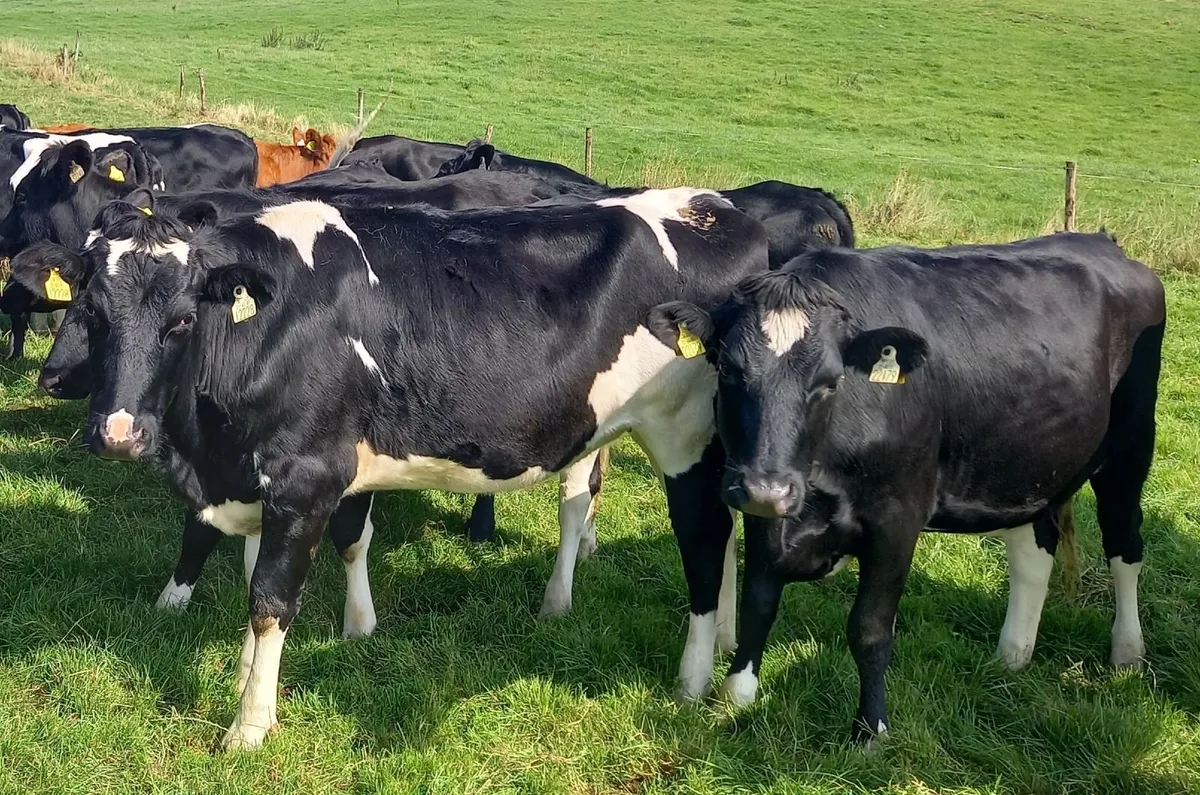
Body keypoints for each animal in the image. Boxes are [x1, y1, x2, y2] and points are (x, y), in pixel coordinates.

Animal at [74, 187, 766, 748]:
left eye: (182, 320)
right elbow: (294, 562)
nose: (118, 433)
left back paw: (694, 679)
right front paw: (266, 673)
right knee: (727, 531)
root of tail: (717, 206)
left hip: (684, 435)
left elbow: (270, 599)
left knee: (704, 540)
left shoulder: (304, 477)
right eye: (91, 313)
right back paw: (727, 639)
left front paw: (248, 727)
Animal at [648, 232, 1165, 743]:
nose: (765, 489)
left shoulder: (896, 520)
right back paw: (1012, 655)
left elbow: (870, 627)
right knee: (1034, 553)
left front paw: (870, 730)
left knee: (1125, 545)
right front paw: (737, 696)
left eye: (829, 381)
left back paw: (1127, 652)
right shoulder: (770, 513)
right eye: (727, 370)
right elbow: (759, 601)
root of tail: (1102, 243)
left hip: (1130, 448)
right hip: (1030, 464)